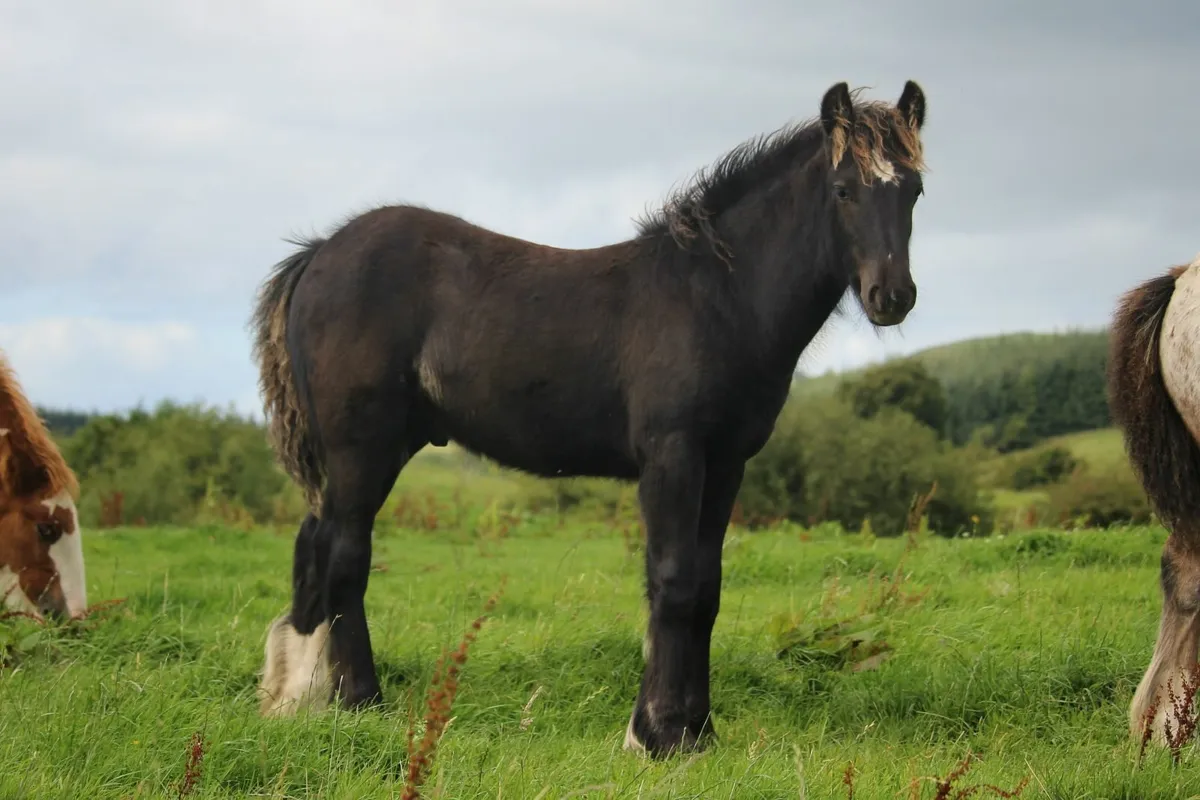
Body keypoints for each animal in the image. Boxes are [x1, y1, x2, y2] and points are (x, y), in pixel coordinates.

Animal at [250, 77, 926, 762]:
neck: (715, 298)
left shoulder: (726, 464)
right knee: (344, 554)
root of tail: (320, 253)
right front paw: (657, 735)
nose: (891, 297)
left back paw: (298, 695)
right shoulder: (672, 454)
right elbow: (674, 582)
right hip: (363, 447)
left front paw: (698, 731)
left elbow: (706, 589)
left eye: (914, 190)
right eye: (843, 189)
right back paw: (361, 700)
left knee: (315, 544)